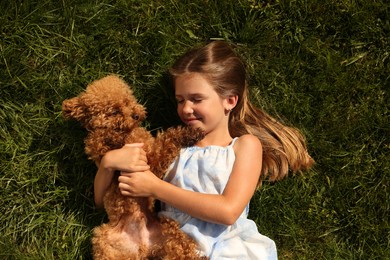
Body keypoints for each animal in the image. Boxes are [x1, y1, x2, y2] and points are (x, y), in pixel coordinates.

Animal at [62, 74, 206, 258]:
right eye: (114, 111)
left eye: (127, 100)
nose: (136, 115)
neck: (128, 136)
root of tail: (142, 249)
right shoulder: (101, 151)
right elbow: (97, 139)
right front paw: (108, 135)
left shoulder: (153, 163)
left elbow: (166, 141)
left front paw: (191, 133)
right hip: (103, 242)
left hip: (171, 232)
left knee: (183, 251)